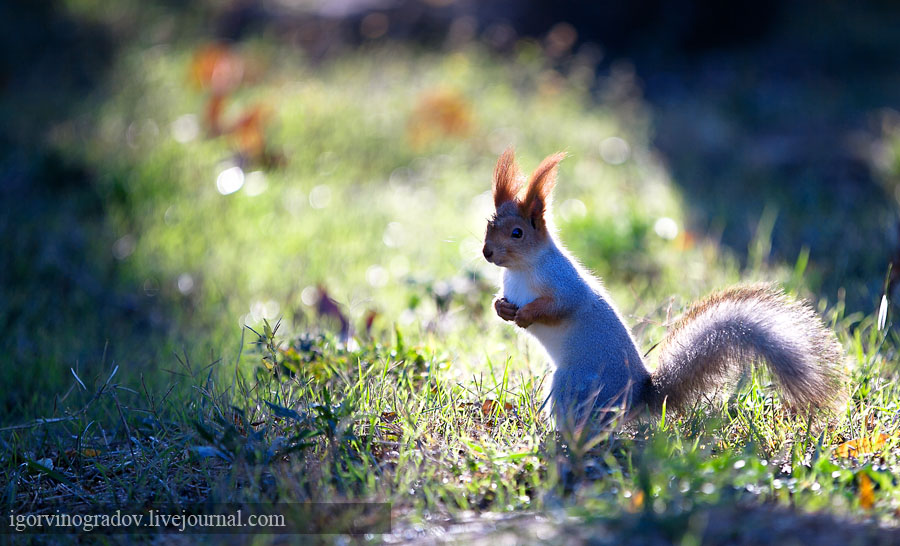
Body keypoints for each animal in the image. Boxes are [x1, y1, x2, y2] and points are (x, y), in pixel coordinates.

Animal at [482, 148, 848, 430]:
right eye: (488, 226)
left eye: (517, 233)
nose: (487, 253)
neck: (520, 270)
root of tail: (638, 398)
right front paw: (502, 308)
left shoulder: (564, 284)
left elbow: (559, 306)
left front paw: (527, 314)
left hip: (573, 385)